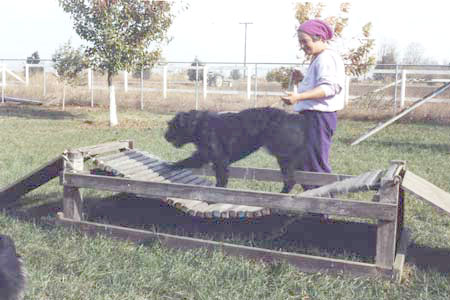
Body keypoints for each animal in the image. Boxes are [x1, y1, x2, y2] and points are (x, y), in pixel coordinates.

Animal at [165, 106, 310, 193]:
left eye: (172, 126)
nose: (165, 136)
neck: (198, 125)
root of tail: (294, 118)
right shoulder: (204, 155)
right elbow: (188, 161)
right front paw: (171, 166)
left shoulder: (220, 159)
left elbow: (222, 178)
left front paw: (219, 190)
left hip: (284, 157)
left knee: (290, 180)